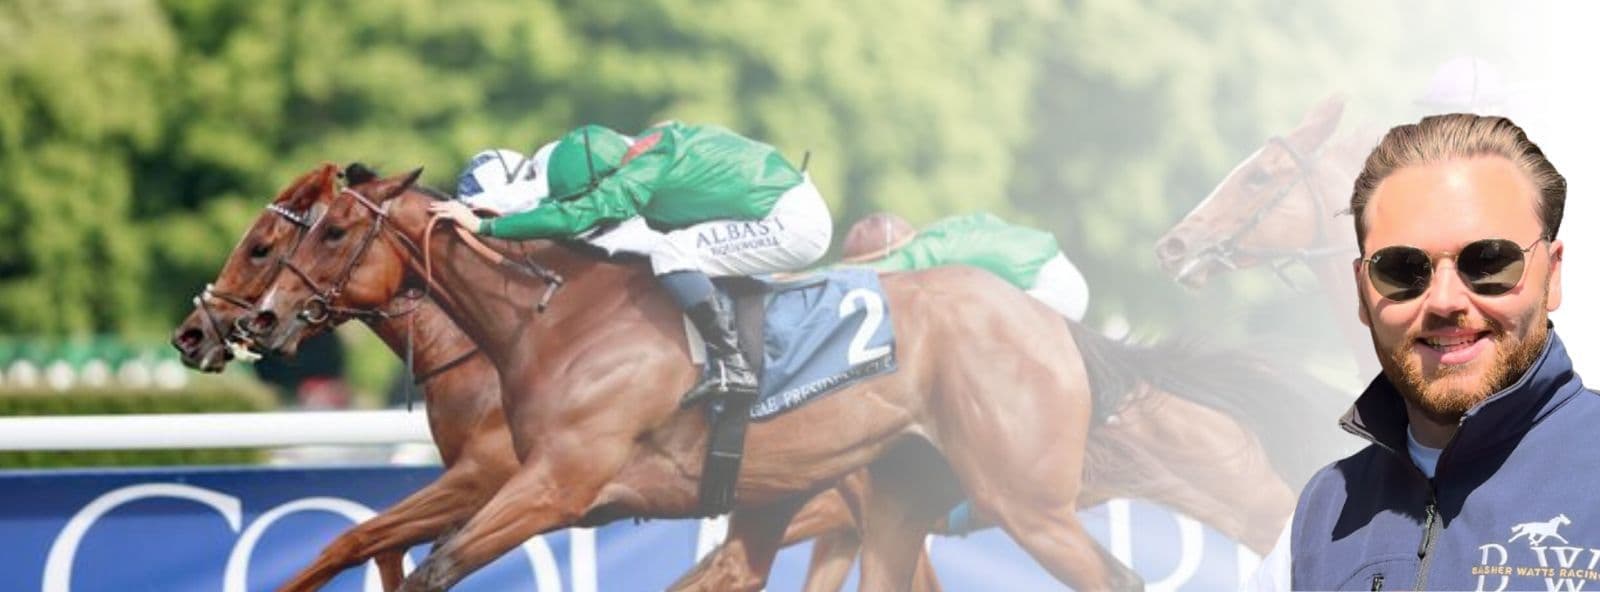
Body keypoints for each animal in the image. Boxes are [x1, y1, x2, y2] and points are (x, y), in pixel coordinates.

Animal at [242, 166, 1142, 591]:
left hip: (1022, 499)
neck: (550, 320)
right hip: (879, 497)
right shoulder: (520, 483)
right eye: (281, 238)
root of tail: (1050, 324)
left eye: (329, 233)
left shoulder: (550, 485)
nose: (256, 321)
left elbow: (429, 563)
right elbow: (367, 540)